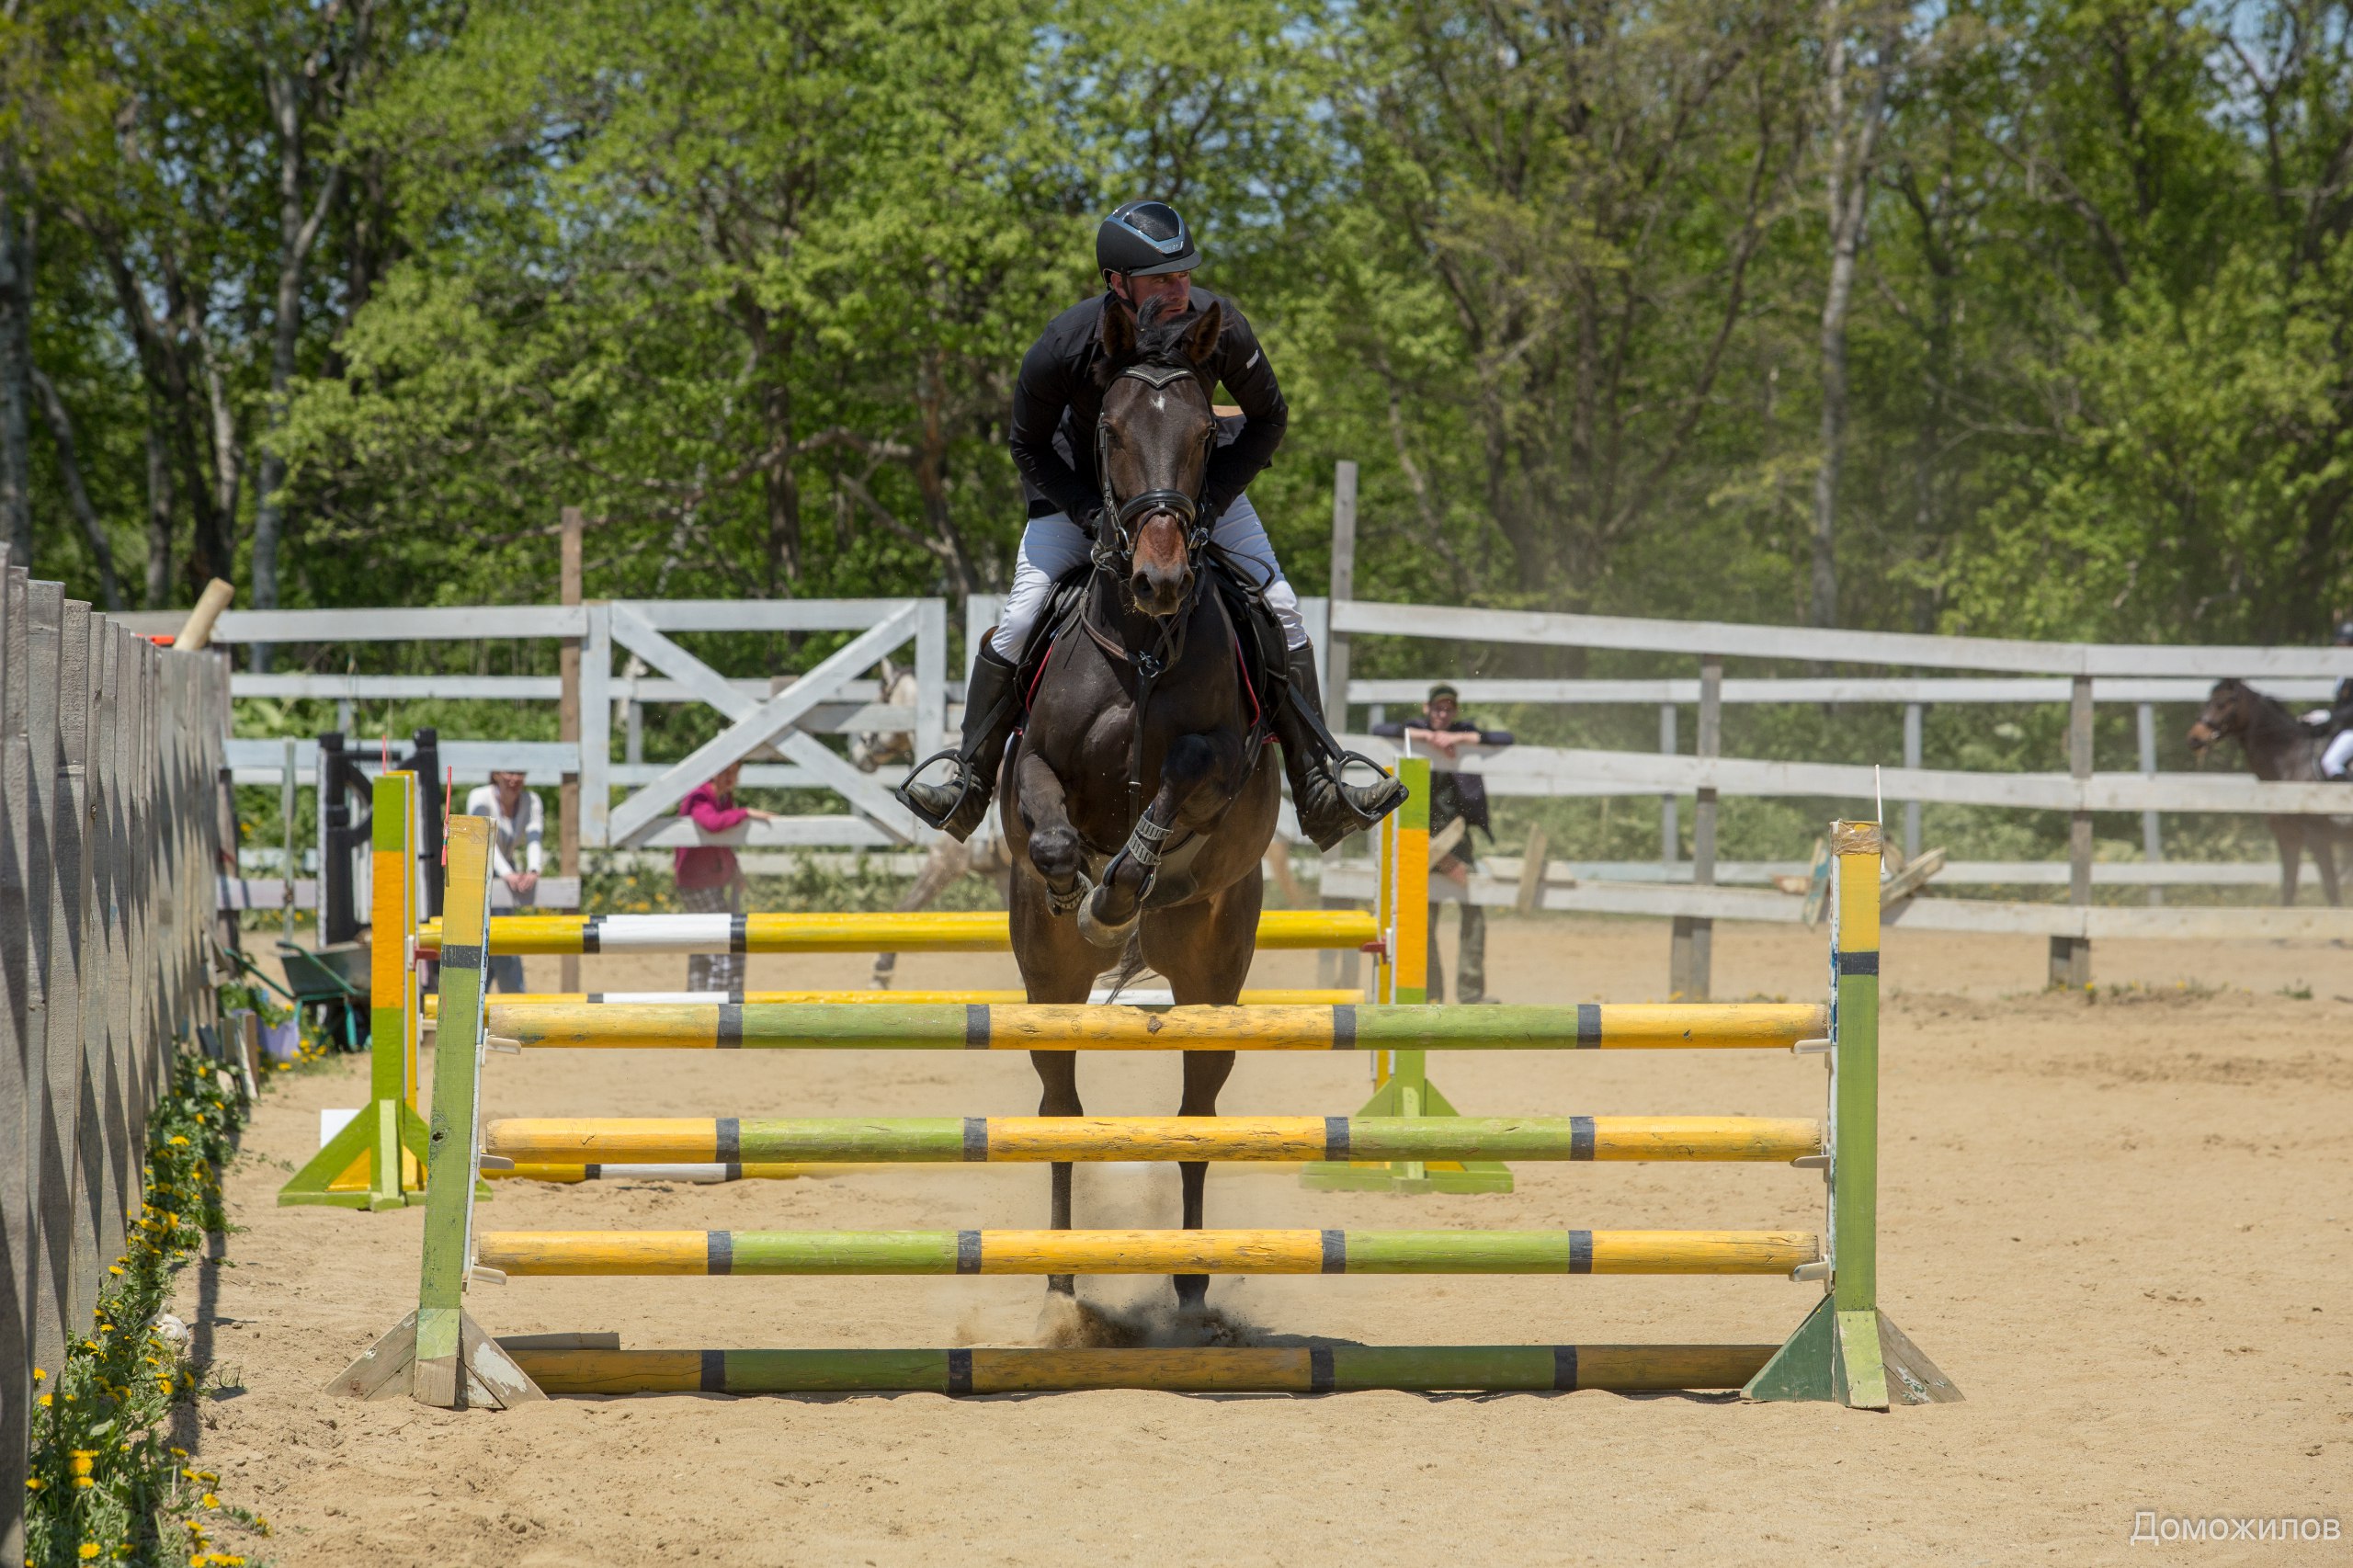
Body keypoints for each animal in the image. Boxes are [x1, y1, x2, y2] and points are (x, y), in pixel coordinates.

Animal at [1002, 296, 1279, 1318]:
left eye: (1205, 436)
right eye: (1112, 432)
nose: (1162, 579)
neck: (1144, 644)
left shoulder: (1225, 762)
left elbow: (1183, 775)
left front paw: (1121, 879)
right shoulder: (1034, 765)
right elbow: (1047, 822)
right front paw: (1077, 884)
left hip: (1213, 970)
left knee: (1198, 1114)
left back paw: (1192, 1286)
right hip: (1047, 987)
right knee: (1060, 1109)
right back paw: (1059, 1281)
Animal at [2183, 673, 2353, 903]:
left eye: (2222, 703)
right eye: (2208, 701)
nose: (2195, 738)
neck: (2290, 762)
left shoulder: (2318, 837)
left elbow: (2331, 891)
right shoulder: (2287, 836)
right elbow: (2288, 889)